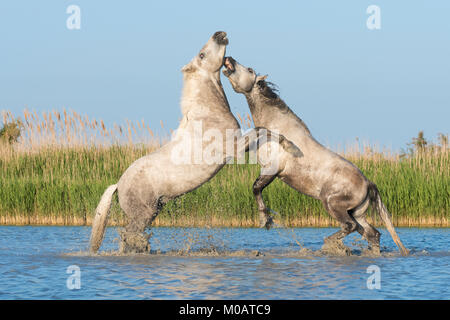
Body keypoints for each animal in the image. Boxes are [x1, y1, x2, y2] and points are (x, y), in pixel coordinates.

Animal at [89, 31, 300, 252]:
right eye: (201, 55)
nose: (220, 34)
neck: (208, 113)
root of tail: (118, 184)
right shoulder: (234, 148)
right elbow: (262, 130)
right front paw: (291, 146)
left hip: (153, 210)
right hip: (143, 215)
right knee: (129, 235)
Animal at [223, 54, 410, 255]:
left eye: (249, 70)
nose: (228, 58)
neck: (278, 127)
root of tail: (368, 183)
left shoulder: (271, 170)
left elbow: (256, 188)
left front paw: (265, 220)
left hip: (332, 203)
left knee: (350, 226)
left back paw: (329, 243)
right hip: (357, 212)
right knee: (371, 233)